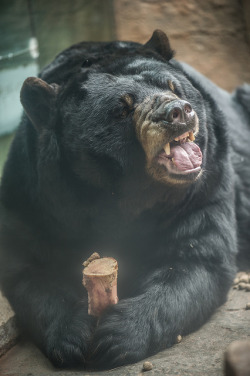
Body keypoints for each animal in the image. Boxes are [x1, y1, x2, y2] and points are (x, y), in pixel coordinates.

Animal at [0, 30, 250, 370]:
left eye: (174, 87)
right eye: (122, 108)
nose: (179, 111)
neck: (127, 199)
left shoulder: (205, 189)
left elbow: (195, 258)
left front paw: (116, 337)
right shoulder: (32, 200)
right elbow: (30, 270)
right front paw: (73, 337)